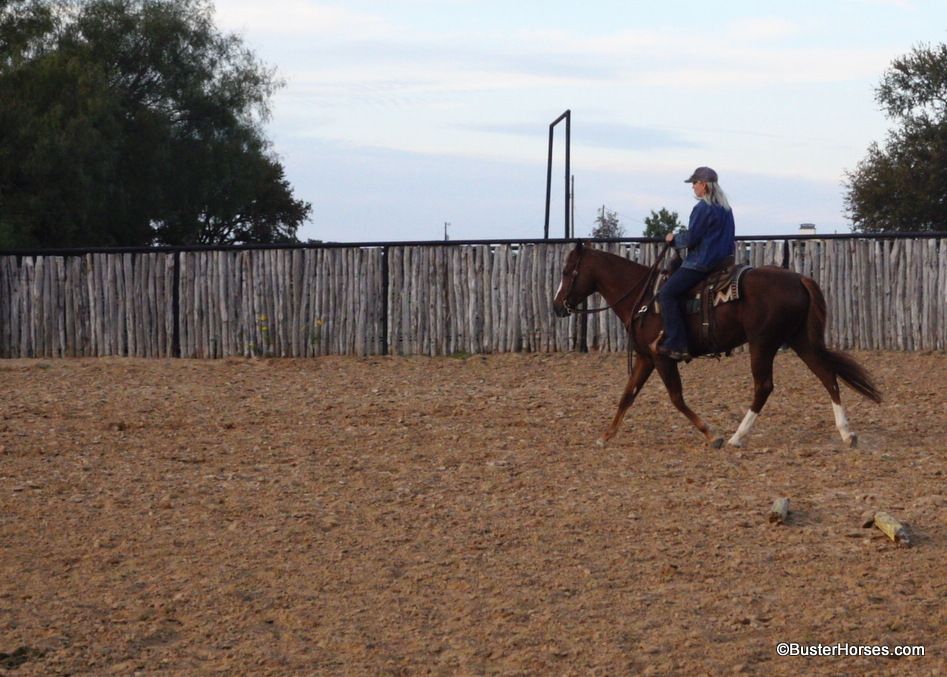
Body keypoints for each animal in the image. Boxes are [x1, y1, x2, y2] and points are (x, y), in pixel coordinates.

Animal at [552, 242, 881, 448]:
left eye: (568, 272)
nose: (556, 306)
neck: (644, 298)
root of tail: (799, 278)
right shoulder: (646, 358)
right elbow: (626, 397)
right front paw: (605, 436)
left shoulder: (662, 358)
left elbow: (676, 398)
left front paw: (712, 434)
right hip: (800, 341)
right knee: (827, 376)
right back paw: (847, 433)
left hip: (762, 344)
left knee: (764, 386)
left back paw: (737, 437)